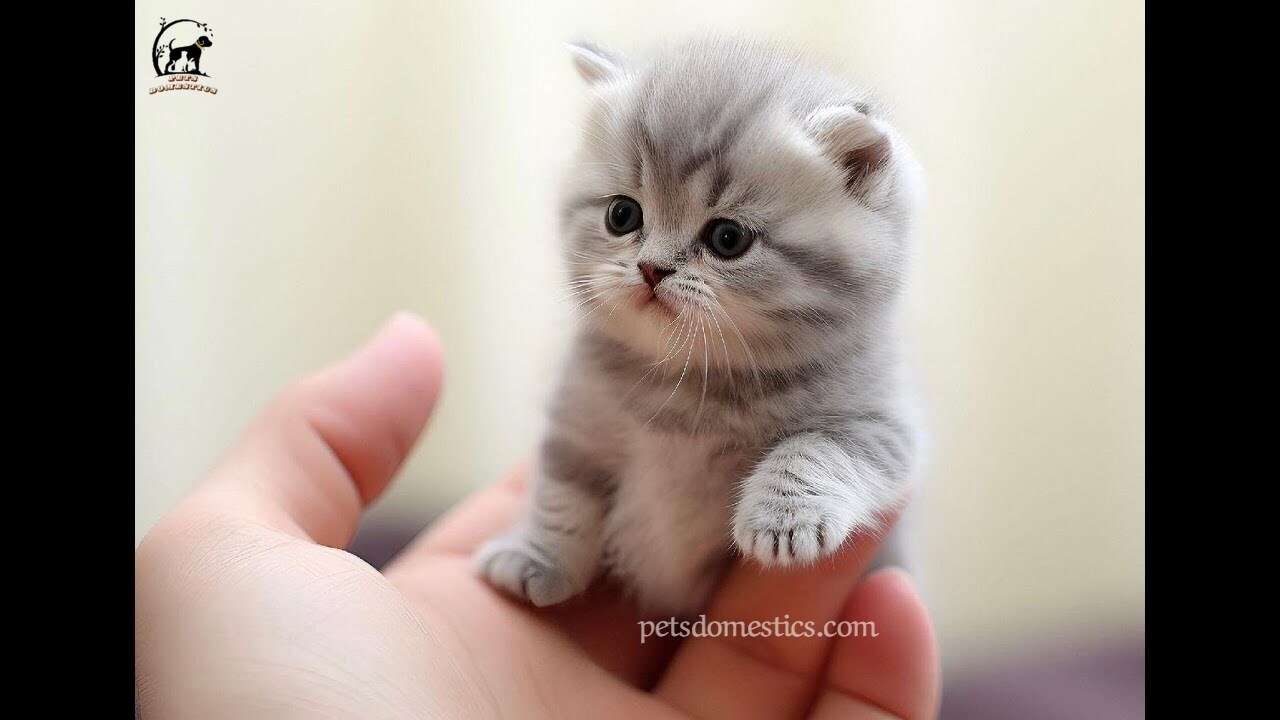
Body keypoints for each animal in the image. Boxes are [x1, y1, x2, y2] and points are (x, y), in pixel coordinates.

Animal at [476, 36, 926, 614]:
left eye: (727, 239)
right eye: (622, 215)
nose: (652, 269)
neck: (686, 385)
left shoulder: (885, 420)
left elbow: (821, 448)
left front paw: (783, 517)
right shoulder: (577, 420)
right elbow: (559, 492)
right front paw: (534, 557)